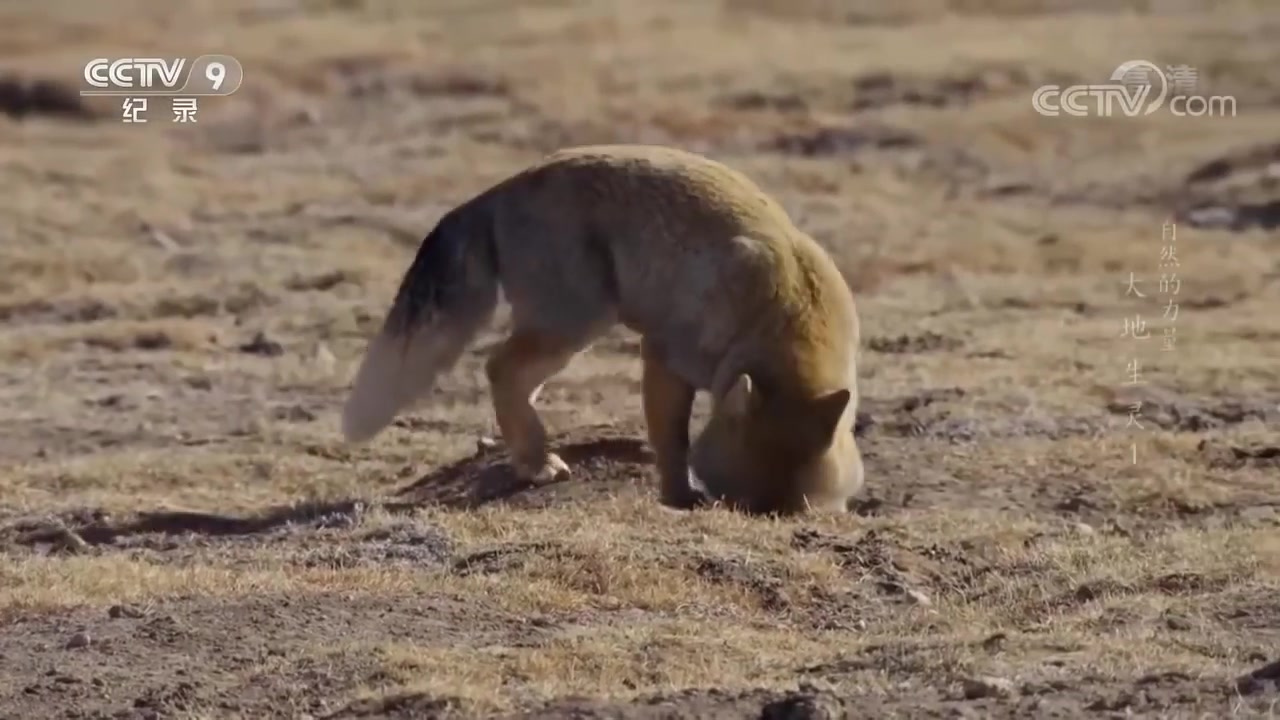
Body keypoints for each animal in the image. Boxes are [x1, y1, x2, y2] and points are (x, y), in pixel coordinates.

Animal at [340, 144, 865, 509]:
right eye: (740, 504)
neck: (785, 311)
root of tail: (497, 191)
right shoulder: (664, 353)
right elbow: (671, 440)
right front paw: (678, 497)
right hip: (578, 321)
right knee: (499, 368)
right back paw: (537, 462)